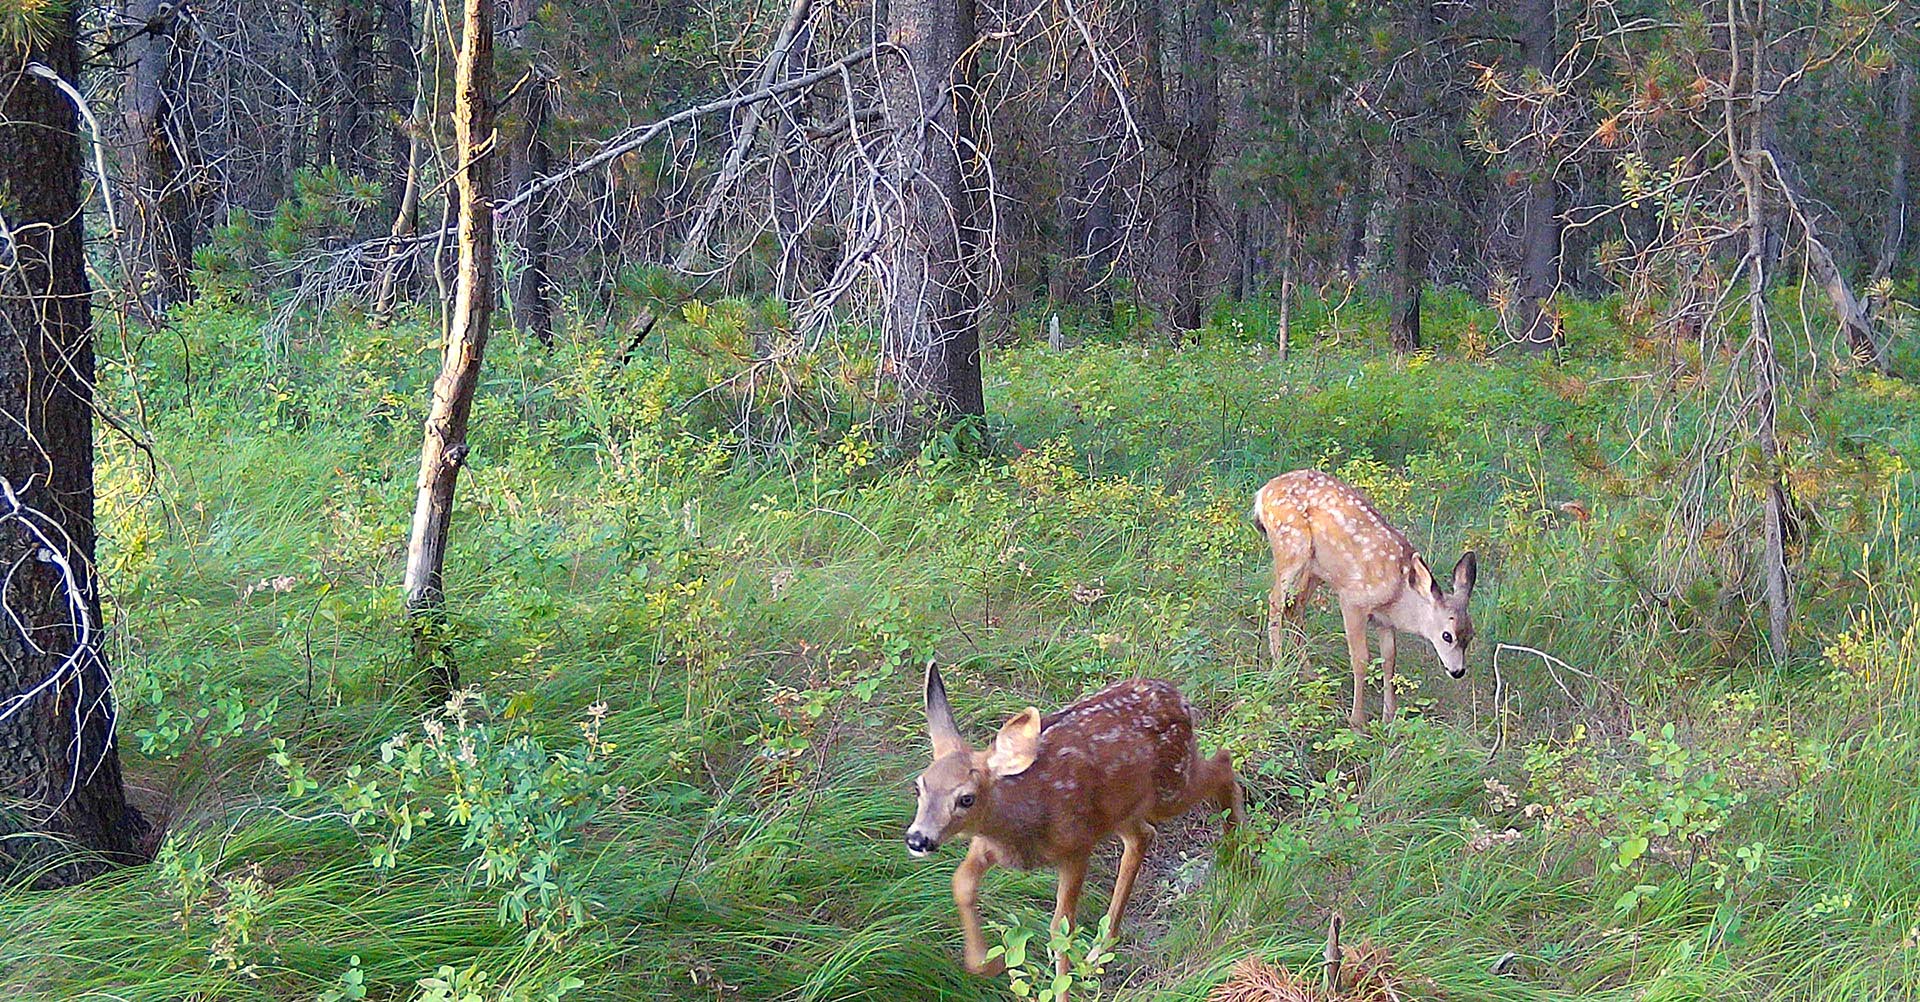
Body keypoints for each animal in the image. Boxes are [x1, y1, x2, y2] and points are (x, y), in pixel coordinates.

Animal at [905, 662, 1245, 983]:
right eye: (919, 786)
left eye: (966, 798)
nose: (918, 839)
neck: (1018, 821)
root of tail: (1180, 699)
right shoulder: (985, 845)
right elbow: (961, 883)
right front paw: (986, 962)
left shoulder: (1076, 846)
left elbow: (1061, 929)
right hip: (1119, 808)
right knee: (1142, 836)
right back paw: (1100, 950)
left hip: (1170, 784)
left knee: (1223, 763)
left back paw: (1237, 859)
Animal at [1252, 469, 1479, 730]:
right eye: (1447, 635)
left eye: (1470, 635)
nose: (1458, 671)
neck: (1398, 595)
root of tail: (1263, 492)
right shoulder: (1352, 601)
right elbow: (1361, 660)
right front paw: (1357, 722)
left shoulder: (1384, 622)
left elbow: (1389, 660)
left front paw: (1389, 718)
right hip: (1291, 546)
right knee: (1275, 601)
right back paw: (1279, 669)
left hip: (1315, 569)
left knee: (1295, 607)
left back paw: (1309, 673)